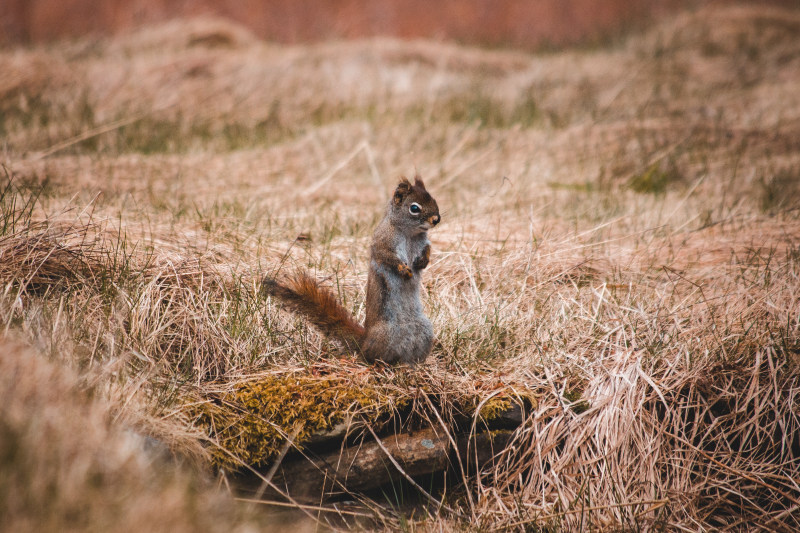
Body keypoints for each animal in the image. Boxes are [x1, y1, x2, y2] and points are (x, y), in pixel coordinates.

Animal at [262, 177, 440, 364]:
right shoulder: (382, 242)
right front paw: (403, 269)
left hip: (424, 331)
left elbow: (428, 249)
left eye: (433, 199)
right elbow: (387, 257)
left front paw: (423, 260)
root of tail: (364, 341)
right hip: (385, 334)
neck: (410, 233)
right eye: (414, 208)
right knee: (371, 356)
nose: (436, 219)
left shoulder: (422, 242)